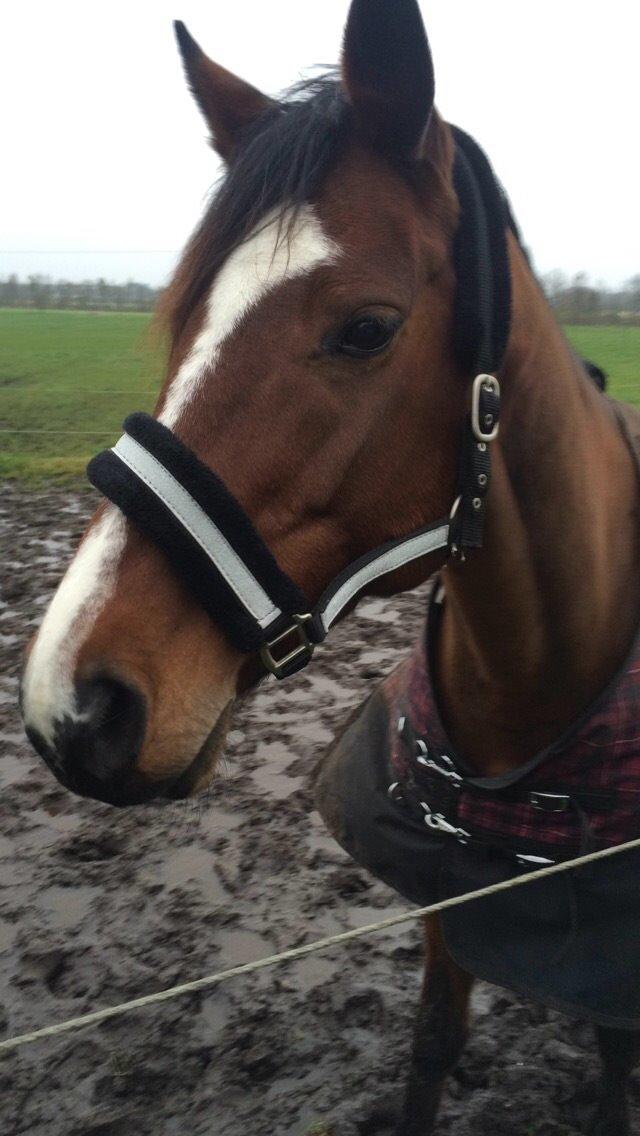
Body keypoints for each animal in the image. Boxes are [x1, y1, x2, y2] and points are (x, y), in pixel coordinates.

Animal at [20, 1, 640, 1132]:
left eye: (365, 328)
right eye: (184, 316)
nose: (68, 704)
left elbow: (615, 1060)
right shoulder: (450, 901)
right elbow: (432, 1044)